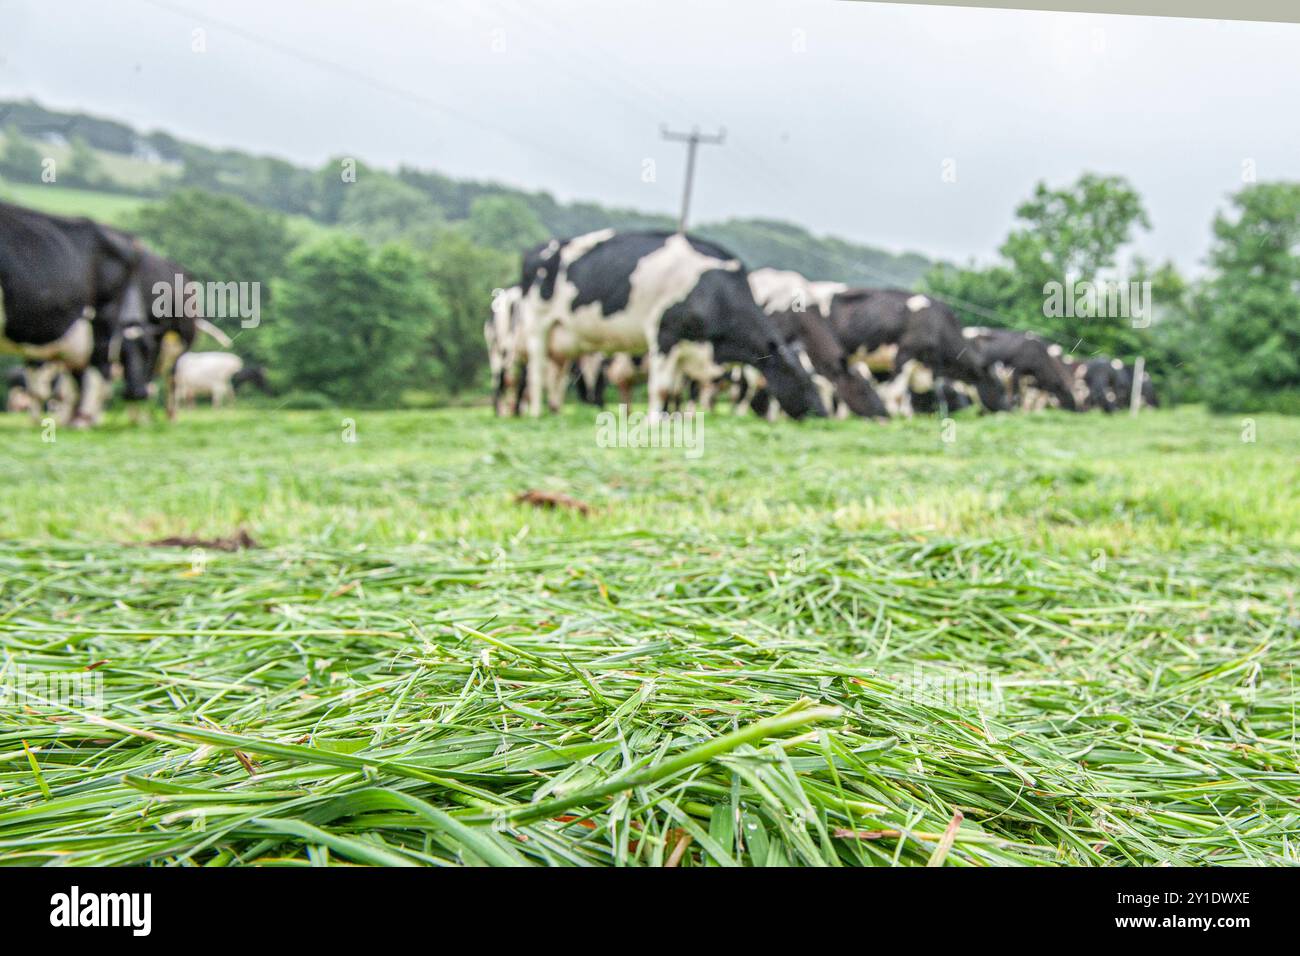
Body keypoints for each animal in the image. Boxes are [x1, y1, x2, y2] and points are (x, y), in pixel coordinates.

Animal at [0, 201, 156, 426]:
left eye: (150, 350)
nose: (139, 393)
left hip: (97, 320)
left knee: (95, 370)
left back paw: (81, 420)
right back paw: (79, 420)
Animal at [517, 230, 821, 421]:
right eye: (806, 381)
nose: (823, 414)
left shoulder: (685, 348)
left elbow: (673, 389)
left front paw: (670, 417)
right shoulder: (665, 335)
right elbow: (662, 387)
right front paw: (655, 421)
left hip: (564, 341)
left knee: (556, 377)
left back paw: (555, 410)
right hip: (537, 325)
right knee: (535, 373)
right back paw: (535, 413)